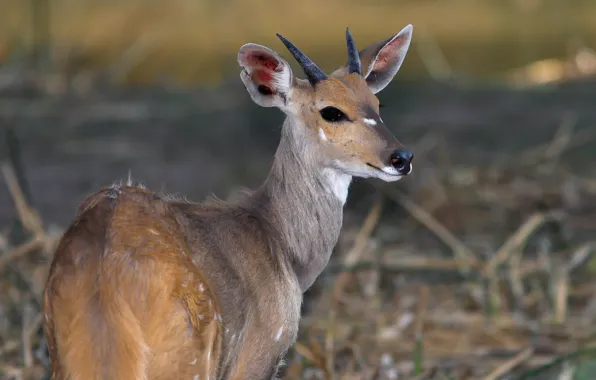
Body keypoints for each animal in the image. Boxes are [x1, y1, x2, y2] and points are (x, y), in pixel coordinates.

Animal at [42, 25, 414, 378]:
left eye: (377, 105)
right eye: (331, 112)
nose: (402, 157)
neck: (283, 249)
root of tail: (105, 286)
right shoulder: (259, 353)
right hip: (186, 359)